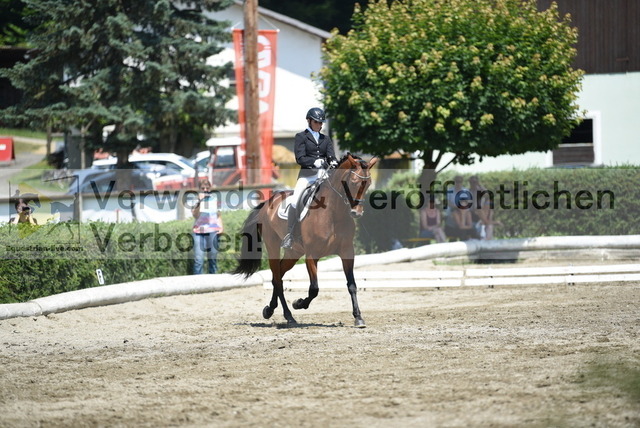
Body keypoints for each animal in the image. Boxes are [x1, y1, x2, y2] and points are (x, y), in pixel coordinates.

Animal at [234, 155, 376, 328]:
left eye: (368, 183)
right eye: (354, 181)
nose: (356, 212)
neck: (334, 213)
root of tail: (267, 202)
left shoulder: (347, 251)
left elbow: (352, 285)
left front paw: (358, 317)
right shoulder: (312, 255)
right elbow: (314, 288)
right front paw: (298, 303)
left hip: (293, 252)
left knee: (277, 276)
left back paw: (270, 310)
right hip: (273, 245)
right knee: (278, 279)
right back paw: (289, 316)